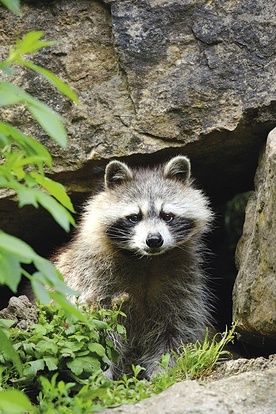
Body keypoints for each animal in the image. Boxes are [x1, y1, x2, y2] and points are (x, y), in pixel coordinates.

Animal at [54, 155, 213, 378]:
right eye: (134, 217)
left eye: (167, 216)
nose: (154, 240)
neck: (146, 261)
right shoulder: (91, 280)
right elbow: (98, 334)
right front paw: (103, 376)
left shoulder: (183, 284)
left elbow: (175, 331)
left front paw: (163, 373)